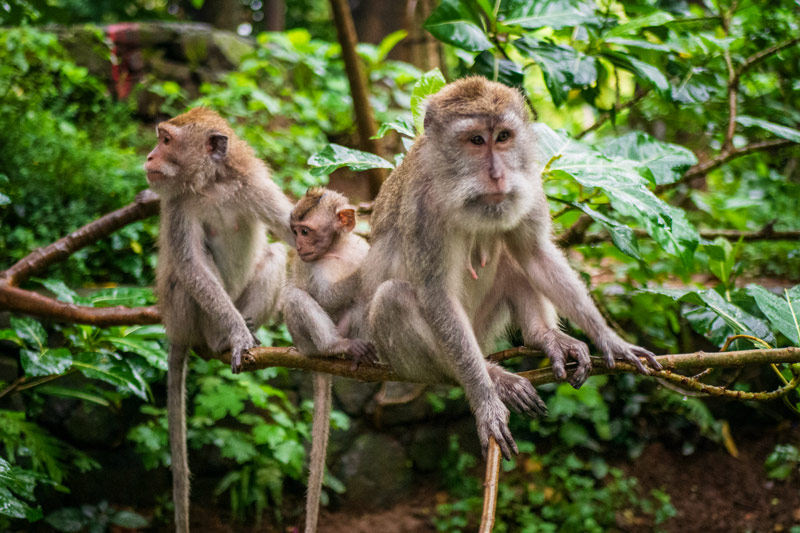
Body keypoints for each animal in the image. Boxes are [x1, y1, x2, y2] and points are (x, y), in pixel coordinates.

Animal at [144, 106, 294, 528]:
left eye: (166, 140)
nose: (149, 156)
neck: (210, 185)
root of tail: (176, 332)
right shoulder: (177, 205)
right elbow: (193, 266)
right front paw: (237, 336)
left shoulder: (254, 183)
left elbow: (293, 231)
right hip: (185, 316)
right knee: (184, 277)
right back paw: (223, 338)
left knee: (275, 253)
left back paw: (253, 330)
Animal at [282, 187, 378, 532]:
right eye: (296, 231)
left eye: (305, 231)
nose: (298, 246)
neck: (337, 250)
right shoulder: (309, 266)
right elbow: (322, 296)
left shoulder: (359, 246)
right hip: (304, 341)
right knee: (295, 297)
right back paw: (335, 345)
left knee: (364, 302)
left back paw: (360, 354)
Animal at [360, 77, 660, 460]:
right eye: (476, 140)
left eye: (503, 137)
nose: (498, 174)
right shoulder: (421, 208)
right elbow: (435, 294)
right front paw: (485, 400)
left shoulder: (529, 184)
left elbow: (535, 254)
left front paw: (610, 339)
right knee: (393, 298)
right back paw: (491, 374)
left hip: (483, 327)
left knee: (512, 258)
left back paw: (542, 336)